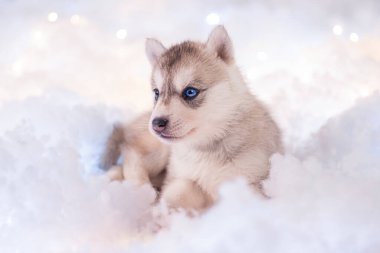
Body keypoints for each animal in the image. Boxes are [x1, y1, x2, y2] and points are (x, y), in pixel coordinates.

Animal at [145, 26, 282, 211]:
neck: (206, 149)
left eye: (190, 92)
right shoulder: (181, 175)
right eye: (156, 93)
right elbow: (181, 187)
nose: (157, 123)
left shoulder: (250, 180)